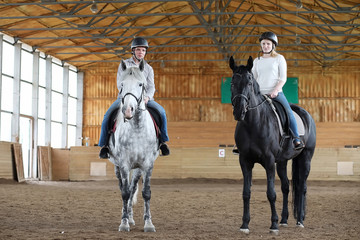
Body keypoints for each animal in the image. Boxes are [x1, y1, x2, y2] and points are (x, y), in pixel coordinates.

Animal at [108, 59, 159, 232]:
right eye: (122, 84)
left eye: (140, 84)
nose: (128, 110)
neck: (136, 127)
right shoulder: (123, 163)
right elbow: (124, 192)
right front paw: (123, 223)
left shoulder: (147, 164)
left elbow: (146, 192)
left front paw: (149, 223)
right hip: (118, 166)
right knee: (124, 189)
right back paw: (127, 217)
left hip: (137, 169)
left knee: (133, 188)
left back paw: (130, 217)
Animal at [229, 55, 316, 233]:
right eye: (232, 83)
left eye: (249, 82)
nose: (239, 111)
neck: (253, 124)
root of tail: (307, 115)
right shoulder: (245, 161)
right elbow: (246, 193)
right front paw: (245, 224)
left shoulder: (269, 161)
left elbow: (271, 193)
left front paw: (274, 224)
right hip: (282, 162)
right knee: (286, 187)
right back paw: (284, 219)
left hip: (306, 158)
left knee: (302, 187)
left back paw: (300, 220)